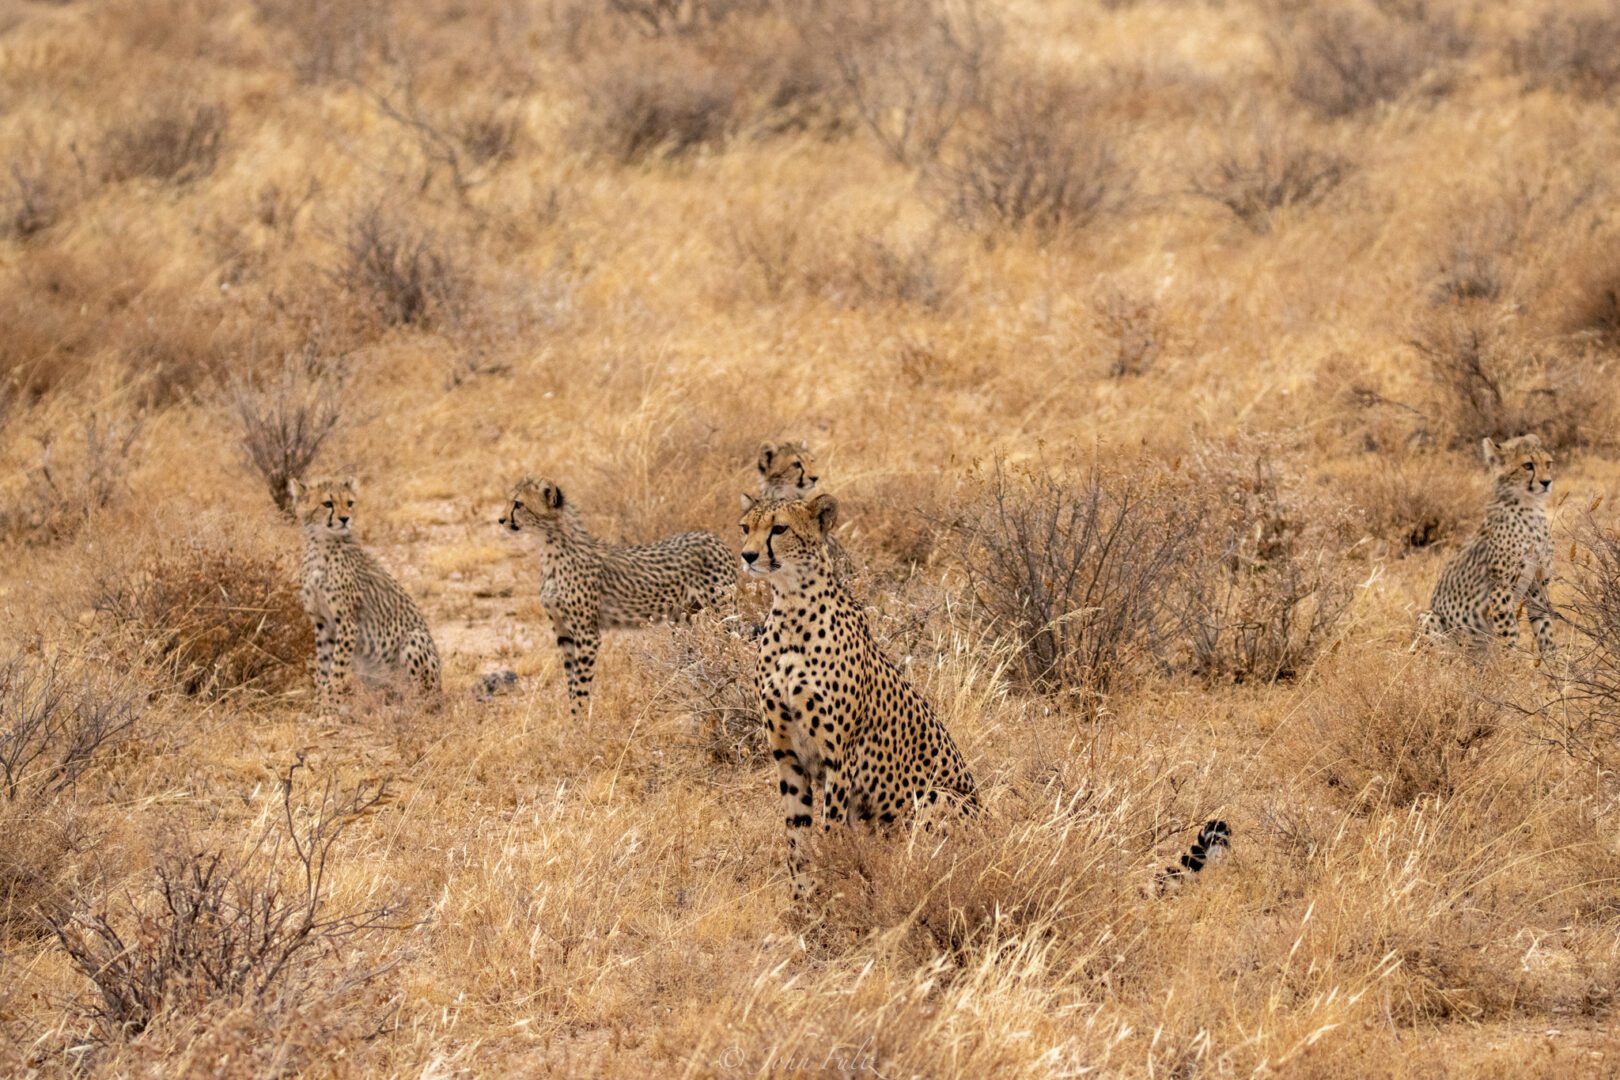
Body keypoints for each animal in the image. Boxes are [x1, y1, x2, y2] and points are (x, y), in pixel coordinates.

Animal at [291, 476, 440, 705]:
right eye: (328, 503)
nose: (345, 519)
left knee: (422, 696)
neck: (321, 545)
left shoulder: (347, 624)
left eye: (350, 503)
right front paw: (319, 703)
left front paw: (330, 705)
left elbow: (337, 669)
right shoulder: (322, 622)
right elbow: (323, 667)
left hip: (415, 638)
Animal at [498, 476, 735, 718]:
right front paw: (571, 721)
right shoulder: (563, 634)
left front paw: (579, 722)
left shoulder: (588, 635)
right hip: (683, 621)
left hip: (722, 614)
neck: (549, 546)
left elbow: (581, 687)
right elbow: (571, 683)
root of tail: (712, 537)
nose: (501, 520)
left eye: (518, 504)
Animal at [741, 495, 972, 900]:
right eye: (745, 528)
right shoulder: (787, 757)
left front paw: (832, 885)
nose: (748, 555)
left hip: (936, 795)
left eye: (779, 528)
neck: (791, 609)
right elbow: (795, 836)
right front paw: (801, 900)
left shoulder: (839, 757)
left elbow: (830, 829)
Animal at [1419, 433, 1555, 660]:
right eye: (1528, 465)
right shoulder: (1500, 590)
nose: (1547, 482)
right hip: (1429, 616)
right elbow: (1510, 635)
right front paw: (1510, 666)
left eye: (1548, 464)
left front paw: (1560, 667)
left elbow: (1546, 631)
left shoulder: (1537, 585)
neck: (1530, 507)